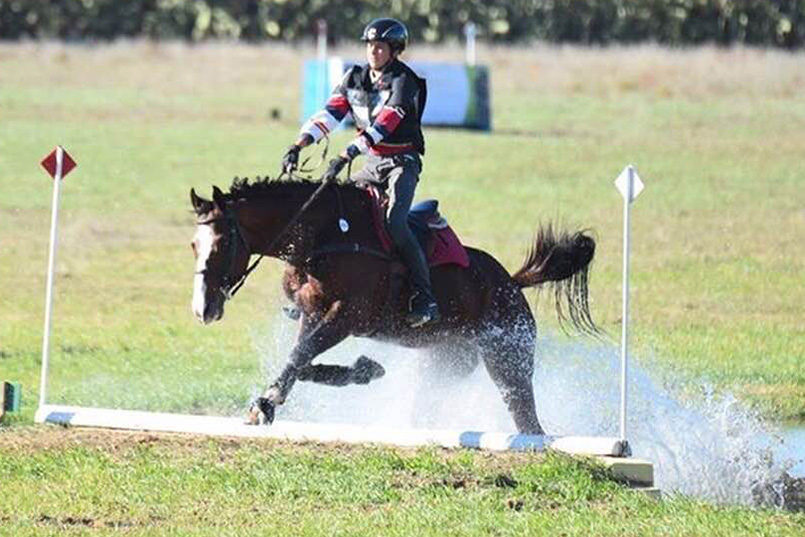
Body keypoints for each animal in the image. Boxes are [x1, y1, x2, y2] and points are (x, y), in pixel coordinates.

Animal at [188, 177, 596, 436]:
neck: (324, 235)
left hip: (508, 358)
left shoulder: (346, 316)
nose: (202, 309)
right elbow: (301, 356)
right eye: (194, 244)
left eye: (222, 244)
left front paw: (267, 403)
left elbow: (300, 353)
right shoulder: (313, 313)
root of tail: (511, 282)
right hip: (446, 363)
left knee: (526, 416)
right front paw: (363, 369)